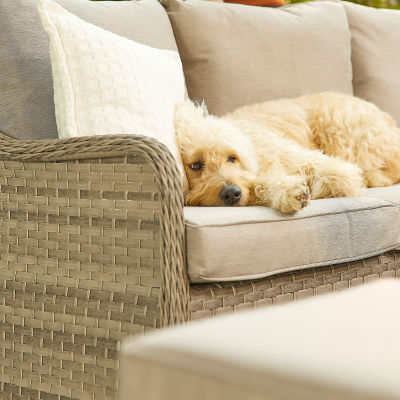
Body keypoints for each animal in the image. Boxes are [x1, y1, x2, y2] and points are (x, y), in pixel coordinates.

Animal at [173, 92, 400, 214]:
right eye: (196, 165)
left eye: (232, 158)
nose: (231, 193)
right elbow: (260, 185)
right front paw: (287, 192)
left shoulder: (334, 170)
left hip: (342, 130)